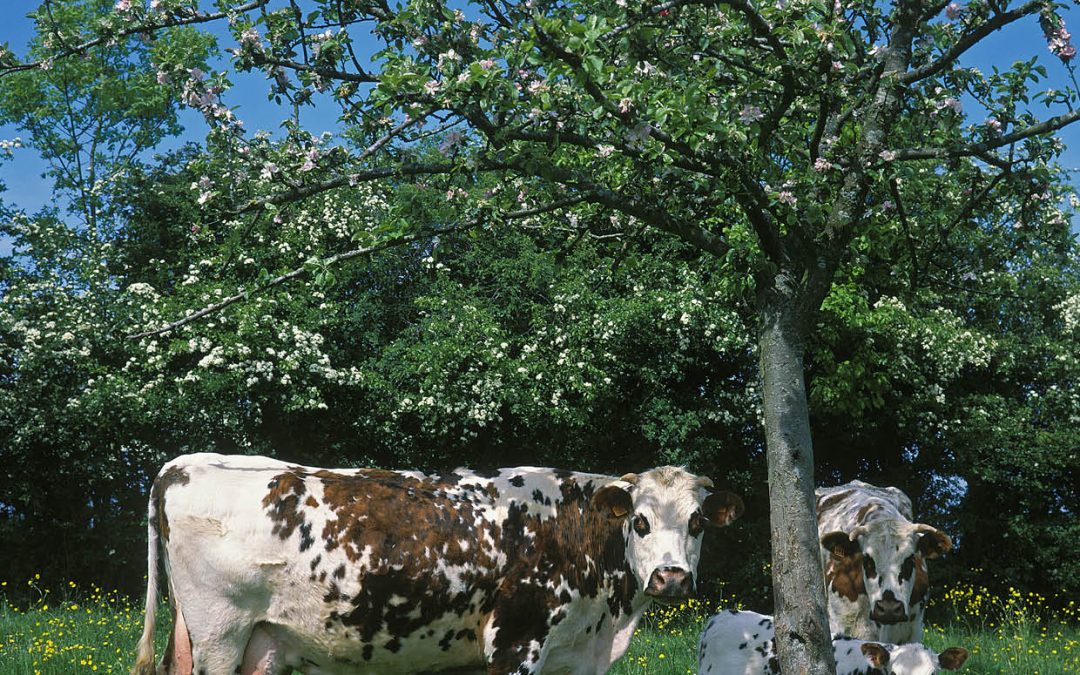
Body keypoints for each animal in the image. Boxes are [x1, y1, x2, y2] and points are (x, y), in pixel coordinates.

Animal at [128, 453, 743, 673]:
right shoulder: (515, 643)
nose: (671, 577)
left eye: (697, 522)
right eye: (639, 521)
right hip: (220, 634)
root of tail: (185, 464)